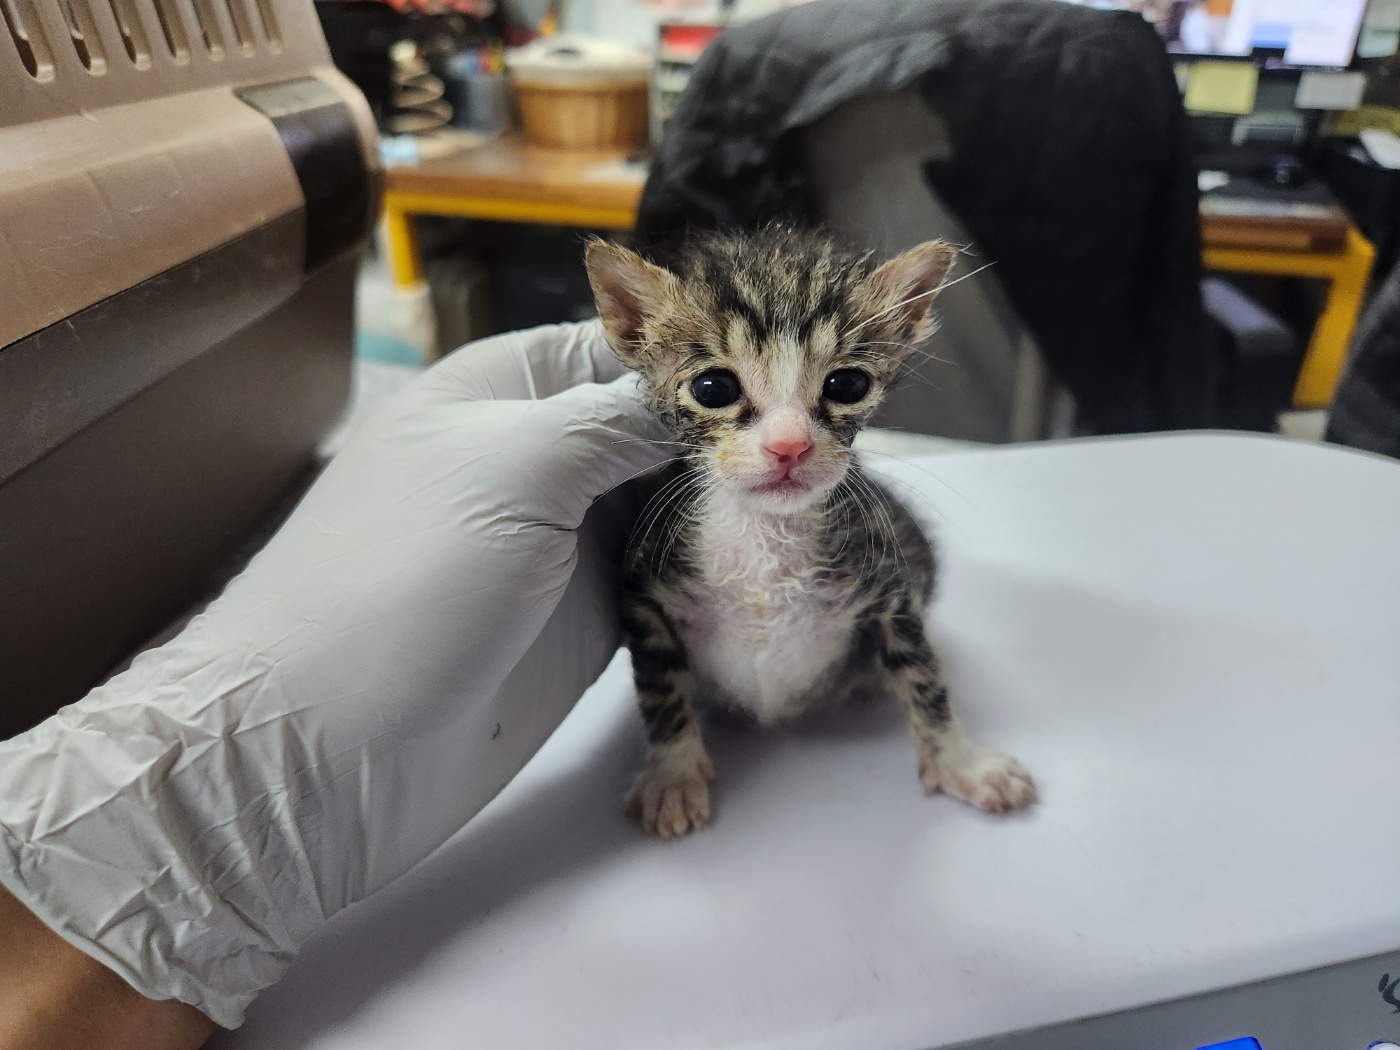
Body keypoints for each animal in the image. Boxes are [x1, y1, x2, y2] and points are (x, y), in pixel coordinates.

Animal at [585, 228, 1036, 840]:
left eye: (847, 383)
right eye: (712, 387)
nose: (789, 445)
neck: (763, 537)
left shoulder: (892, 589)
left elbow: (925, 679)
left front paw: (961, 761)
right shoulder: (642, 591)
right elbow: (659, 687)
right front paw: (672, 776)